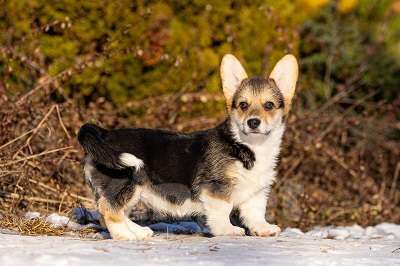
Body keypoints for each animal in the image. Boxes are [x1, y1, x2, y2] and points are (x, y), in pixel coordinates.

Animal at [77, 53, 296, 240]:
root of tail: (104, 134)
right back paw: (125, 235)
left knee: (112, 212)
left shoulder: (257, 192)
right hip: (124, 182)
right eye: (243, 105)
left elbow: (256, 213)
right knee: (109, 210)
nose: (253, 122)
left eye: (269, 105)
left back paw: (138, 232)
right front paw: (227, 230)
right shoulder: (216, 188)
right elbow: (223, 211)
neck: (247, 145)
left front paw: (264, 229)